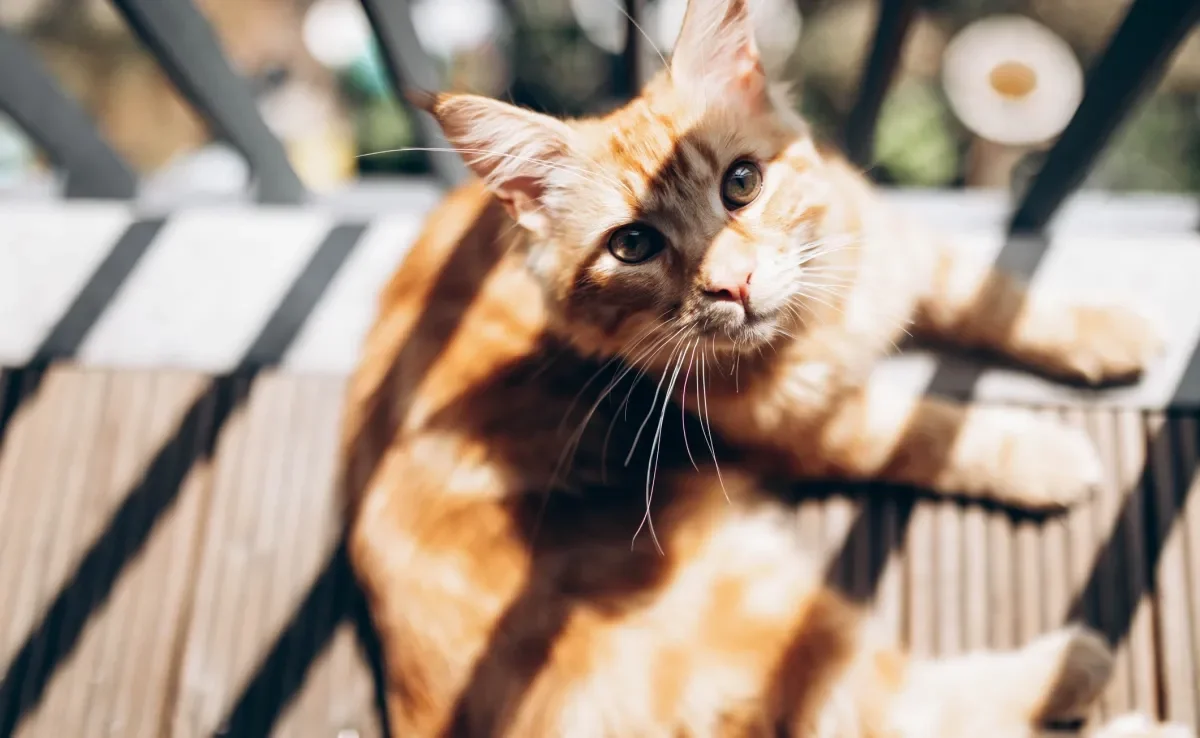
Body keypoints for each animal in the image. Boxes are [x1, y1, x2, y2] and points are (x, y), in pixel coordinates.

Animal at [336, 1, 1171, 738]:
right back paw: (1080, 672)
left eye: (742, 182)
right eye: (632, 245)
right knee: (894, 707)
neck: (820, 322)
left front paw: (1107, 331)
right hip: (744, 611)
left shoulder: (905, 250)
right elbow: (932, 433)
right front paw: (1044, 453)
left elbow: (1000, 300)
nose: (731, 284)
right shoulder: (819, 430)